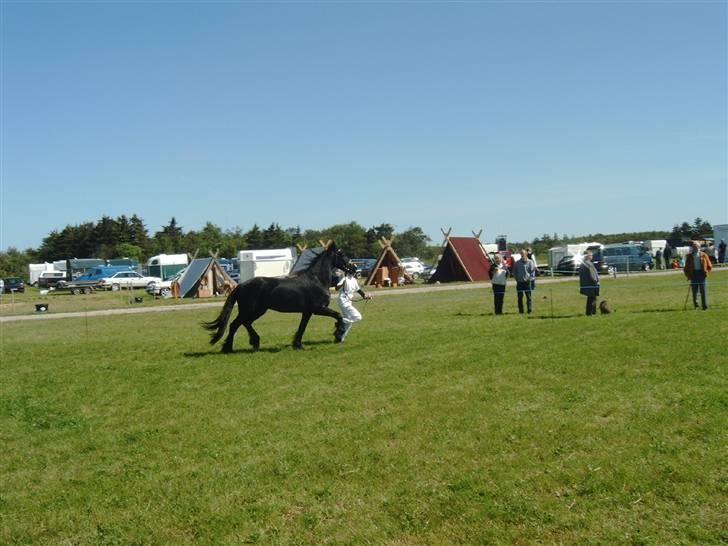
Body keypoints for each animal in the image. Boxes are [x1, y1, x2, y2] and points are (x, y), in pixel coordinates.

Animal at [203, 240, 354, 350]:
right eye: (342, 255)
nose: (354, 268)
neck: (317, 279)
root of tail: (240, 286)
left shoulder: (307, 311)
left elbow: (302, 327)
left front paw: (298, 345)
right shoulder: (318, 308)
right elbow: (338, 316)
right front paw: (338, 335)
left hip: (258, 310)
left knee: (244, 323)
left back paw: (254, 342)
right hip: (250, 310)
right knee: (235, 324)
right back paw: (229, 348)